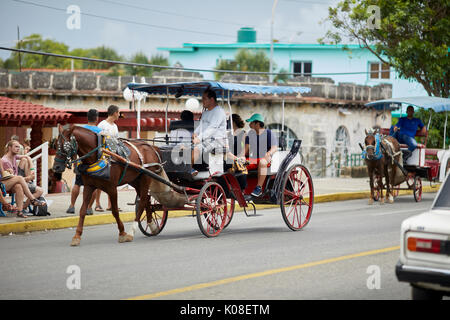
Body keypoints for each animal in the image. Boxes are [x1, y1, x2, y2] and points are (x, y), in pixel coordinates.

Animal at [53, 124, 185, 246]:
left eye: (66, 146)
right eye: (55, 145)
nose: (56, 167)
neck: (100, 155)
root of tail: (152, 147)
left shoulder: (112, 188)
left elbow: (115, 211)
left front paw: (122, 233)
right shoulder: (89, 186)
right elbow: (82, 210)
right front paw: (77, 236)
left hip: (146, 179)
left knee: (142, 201)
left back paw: (131, 232)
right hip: (135, 180)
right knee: (147, 200)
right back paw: (152, 225)